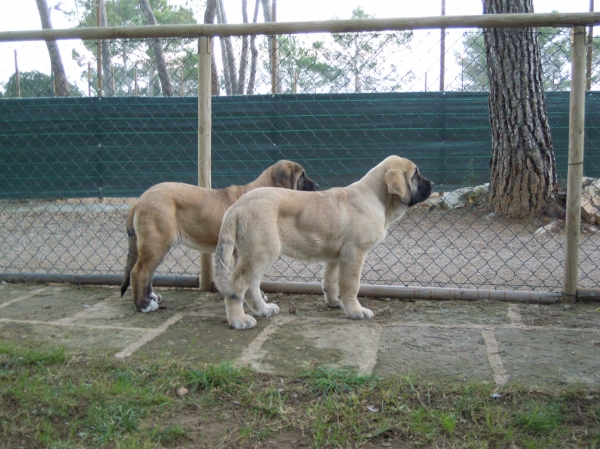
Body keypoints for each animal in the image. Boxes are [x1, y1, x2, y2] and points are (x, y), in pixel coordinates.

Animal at [120, 160, 318, 312]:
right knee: (139, 272)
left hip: (155, 244)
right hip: (157, 242)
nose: (317, 186)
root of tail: (139, 200)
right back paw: (143, 305)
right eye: (301, 176)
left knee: (148, 271)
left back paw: (151, 297)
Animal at [214, 155, 432, 328]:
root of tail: (237, 206)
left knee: (251, 285)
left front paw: (334, 302)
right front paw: (355, 311)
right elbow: (351, 285)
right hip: (263, 251)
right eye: (415, 174)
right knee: (238, 284)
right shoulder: (354, 254)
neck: (377, 197)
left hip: (251, 253)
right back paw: (239, 320)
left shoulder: (336, 257)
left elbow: (330, 281)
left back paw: (263, 309)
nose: (433, 185)